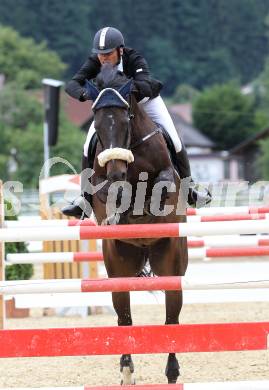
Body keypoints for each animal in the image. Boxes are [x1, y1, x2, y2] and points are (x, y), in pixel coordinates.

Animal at [85, 64, 187, 384]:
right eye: (97, 125)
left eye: (126, 118)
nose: (117, 171)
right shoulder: (101, 183)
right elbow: (110, 194)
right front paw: (122, 209)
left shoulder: (166, 175)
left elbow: (161, 185)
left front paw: (143, 205)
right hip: (118, 269)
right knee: (124, 318)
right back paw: (126, 371)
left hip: (171, 266)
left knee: (172, 318)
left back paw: (172, 372)